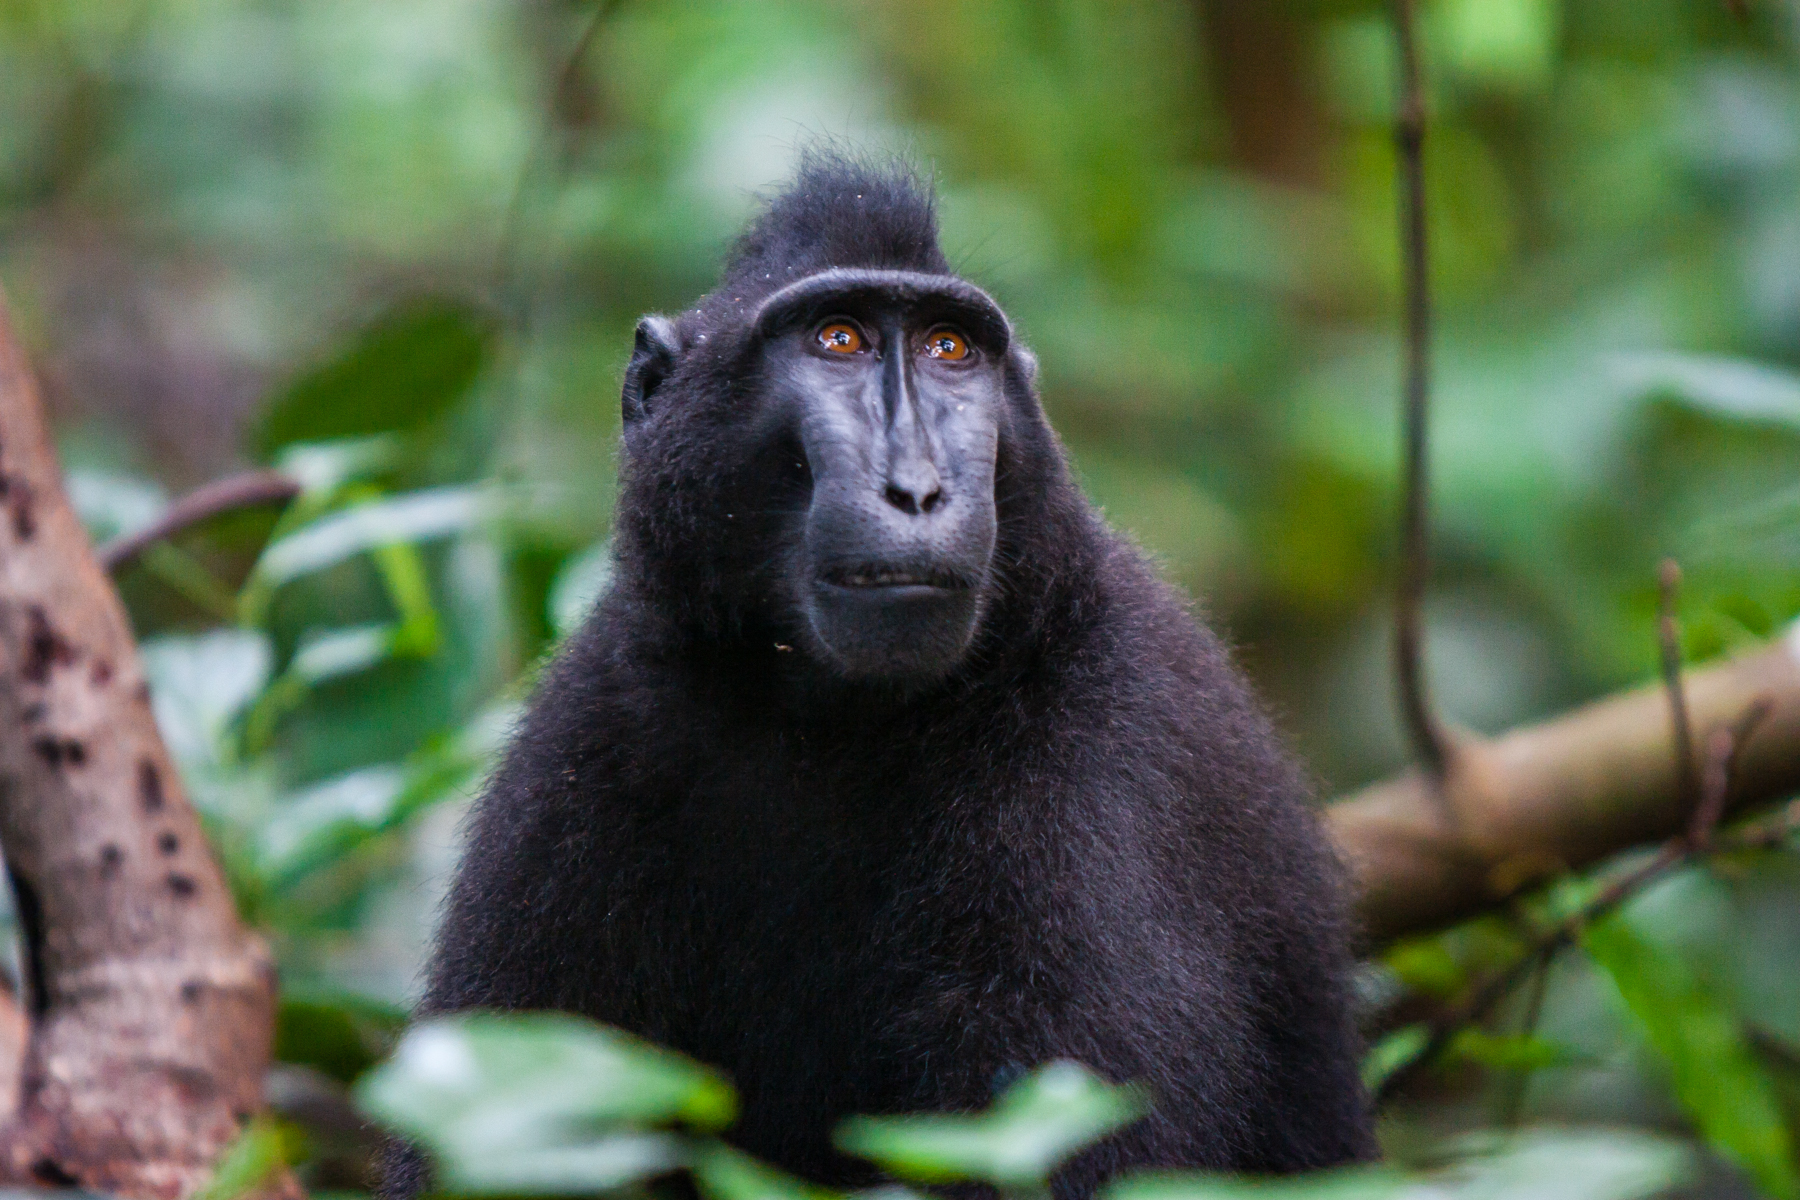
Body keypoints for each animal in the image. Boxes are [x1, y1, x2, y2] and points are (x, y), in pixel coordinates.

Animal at [395, 152, 1375, 1197]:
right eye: (839, 338)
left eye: (951, 349)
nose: (917, 489)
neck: (831, 724)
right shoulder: (591, 734)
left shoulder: (1103, 760)